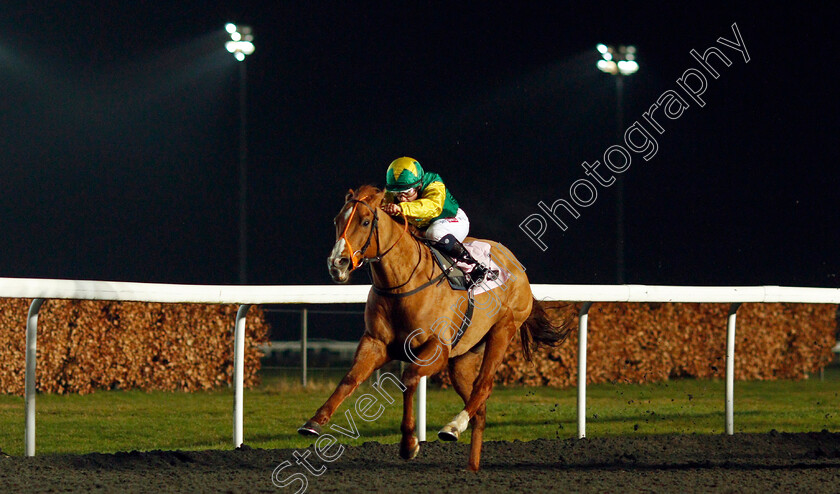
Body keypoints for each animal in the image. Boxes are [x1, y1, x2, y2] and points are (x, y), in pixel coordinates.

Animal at [296, 184, 572, 470]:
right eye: (336, 221)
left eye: (364, 221)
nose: (336, 263)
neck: (403, 283)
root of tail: (515, 263)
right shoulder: (376, 342)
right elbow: (350, 378)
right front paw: (314, 421)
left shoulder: (437, 348)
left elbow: (409, 379)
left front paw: (409, 443)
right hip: (462, 357)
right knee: (479, 407)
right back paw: (472, 465)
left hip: (503, 330)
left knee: (484, 385)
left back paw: (453, 426)